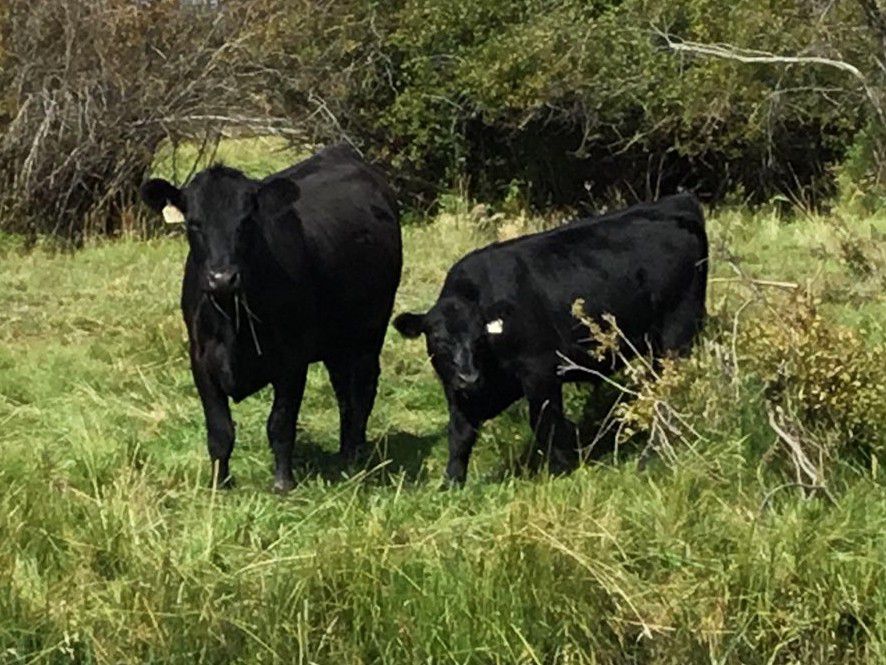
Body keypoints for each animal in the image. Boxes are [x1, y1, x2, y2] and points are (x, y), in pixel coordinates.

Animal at [140, 144, 402, 491]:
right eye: (194, 223)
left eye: (246, 220)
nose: (222, 278)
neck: (233, 321)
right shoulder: (200, 359)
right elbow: (219, 430)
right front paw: (219, 484)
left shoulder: (293, 359)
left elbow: (280, 424)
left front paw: (283, 483)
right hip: (337, 342)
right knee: (344, 392)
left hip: (370, 330)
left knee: (362, 390)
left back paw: (353, 455)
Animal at [393, 193, 707, 485]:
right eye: (438, 338)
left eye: (480, 338)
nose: (469, 377)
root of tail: (677, 201)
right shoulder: (456, 391)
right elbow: (459, 435)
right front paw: (451, 483)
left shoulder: (540, 371)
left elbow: (545, 422)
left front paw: (559, 469)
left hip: (677, 332)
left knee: (668, 394)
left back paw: (653, 454)